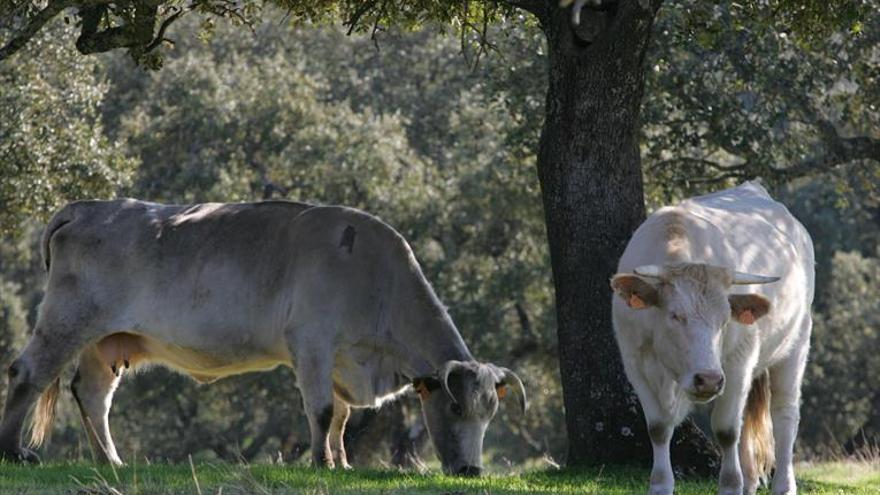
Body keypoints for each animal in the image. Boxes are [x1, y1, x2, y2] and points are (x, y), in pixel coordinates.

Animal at [0, 200, 524, 474]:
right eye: (456, 408)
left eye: (490, 413)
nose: (473, 470)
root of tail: (87, 207)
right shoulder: (311, 342)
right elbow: (322, 409)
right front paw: (320, 464)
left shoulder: (340, 358)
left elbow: (341, 417)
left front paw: (341, 463)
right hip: (68, 319)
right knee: (27, 373)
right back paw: (15, 451)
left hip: (108, 339)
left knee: (91, 394)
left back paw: (111, 461)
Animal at [612, 183, 812, 495]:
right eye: (675, 315)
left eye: (724, 319)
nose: (707, 379)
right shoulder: (634, 362)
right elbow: (658, 428)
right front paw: (660, 485)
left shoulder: (738, 362)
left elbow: (726, 430)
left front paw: (730, 485)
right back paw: (749, 482)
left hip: (796, 344)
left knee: (784, 415)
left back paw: (783, 485)